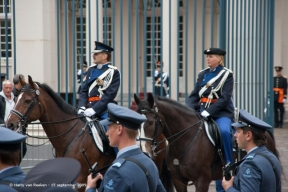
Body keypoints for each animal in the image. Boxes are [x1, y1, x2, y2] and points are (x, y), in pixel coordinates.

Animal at [134, 92, 280, 191]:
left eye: (151, 122)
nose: (144, 152)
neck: (185, 141)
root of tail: (265, 130)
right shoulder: (178, 181)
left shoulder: (202, 181)